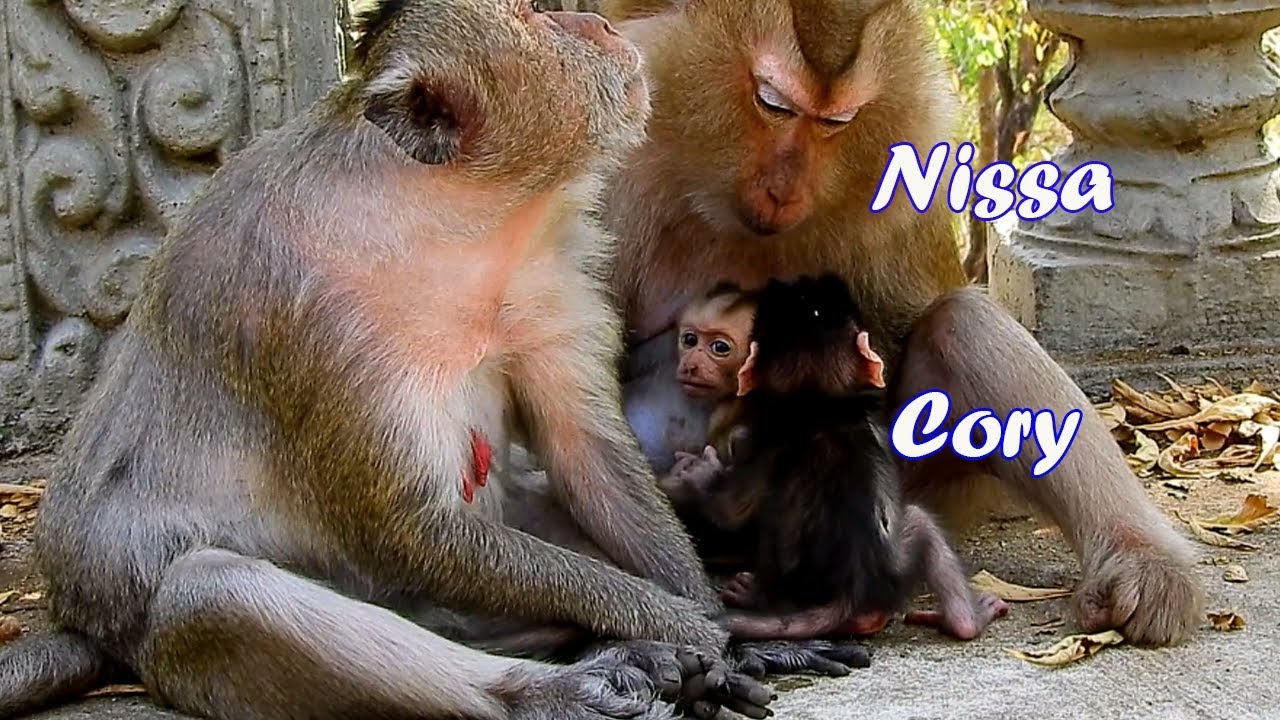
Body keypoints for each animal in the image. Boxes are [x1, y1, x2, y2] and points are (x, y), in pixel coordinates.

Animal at [0, 2, 813, 718]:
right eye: (530, 14)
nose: (597, 23)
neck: (450, 218)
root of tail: (85, 619)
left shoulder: (544, 268)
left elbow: (586, 453)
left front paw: (708, 619)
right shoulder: (310, 310)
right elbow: (408, 527)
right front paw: (686, 628)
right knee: (210, 598)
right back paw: (555, 688)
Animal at [665, 274, 1007, 642]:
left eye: (721, 348)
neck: (818, 402)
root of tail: (851, 593)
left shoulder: (761, 441)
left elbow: (729, 509)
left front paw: (700, 472)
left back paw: (752, 595)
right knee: (923, 528)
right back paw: (965, 620)